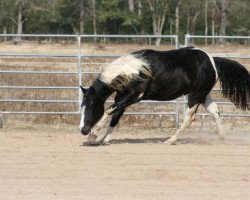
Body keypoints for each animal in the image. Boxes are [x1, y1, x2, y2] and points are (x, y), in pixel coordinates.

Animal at [79, 46, 249, 145]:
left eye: (92, 105)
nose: (83, 130)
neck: (133, 71)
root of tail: (213, 61)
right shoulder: (122, 97)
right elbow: (115, 116)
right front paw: (103, 139)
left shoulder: (134, 96)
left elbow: (110, 110)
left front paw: (94, 133)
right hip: (203, 94)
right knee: (215, 111)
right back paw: (221, 138)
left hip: (195, 95)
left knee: (189, 117)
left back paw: (170, 140)